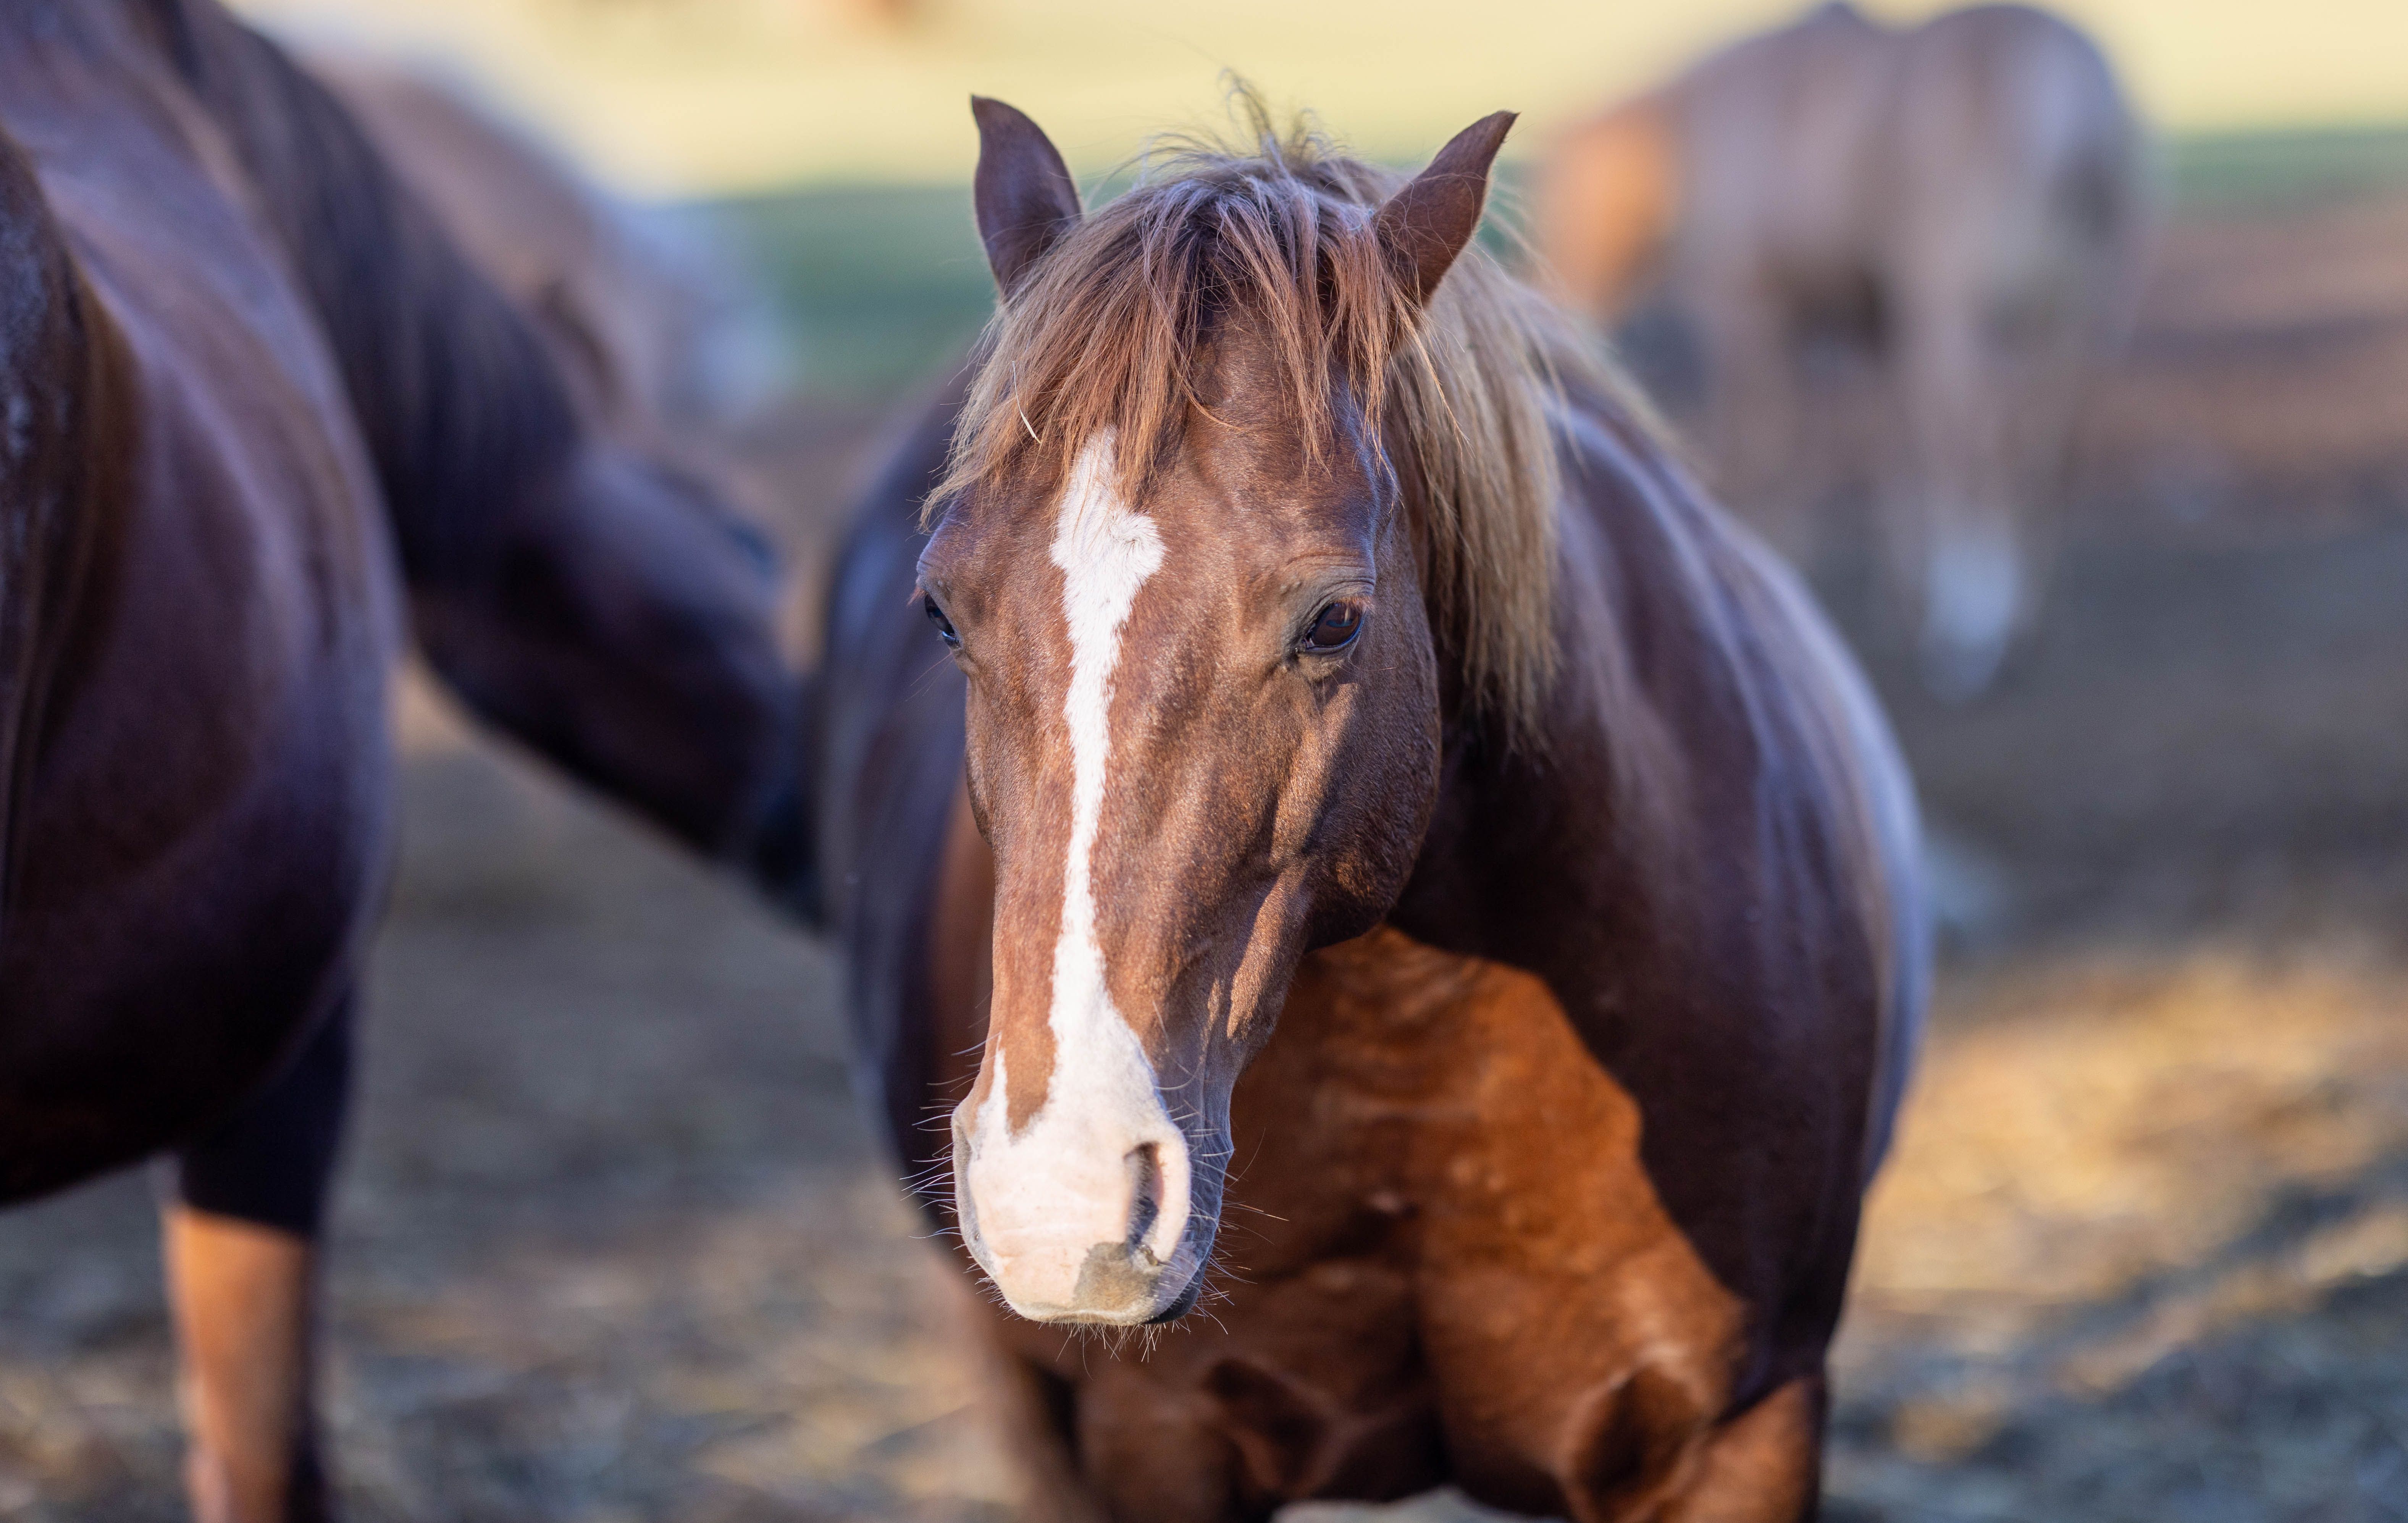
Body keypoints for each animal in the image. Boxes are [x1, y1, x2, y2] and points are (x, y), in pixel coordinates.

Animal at [808, 93, 1927, 1520]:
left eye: (1332, 618)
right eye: (943, 611)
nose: (1061, 1195)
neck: (1416, 1036)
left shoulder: (1741, 1433)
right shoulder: (1148, 1437)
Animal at [1536, 1, 2150, 697]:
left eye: (1558, 201)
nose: (1549, 306)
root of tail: (2073, 93)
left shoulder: (1754, 316)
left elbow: (1770, 447)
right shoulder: (1876, 331)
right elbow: (1894, 452)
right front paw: (1899, 598)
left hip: (1960, 318)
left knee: (1973, 450)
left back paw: (1968, 633)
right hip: (2077, 323)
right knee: (2050, 455)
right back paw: (2022, 623)